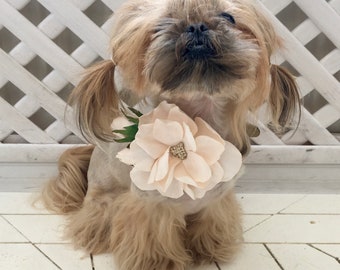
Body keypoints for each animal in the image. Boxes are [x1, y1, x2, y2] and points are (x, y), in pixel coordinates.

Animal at [41, 0, 298, 270]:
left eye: (228, 17)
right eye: (162, 22)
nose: (196, 26)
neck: (199, 122)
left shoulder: (216, 199)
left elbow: (211, 222)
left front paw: (208, 249)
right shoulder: (151, 206)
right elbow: (153, 238)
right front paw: (159, 262)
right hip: (104, 200)